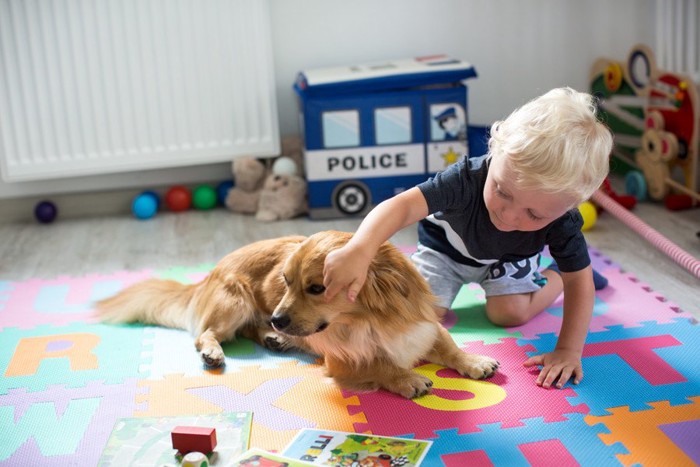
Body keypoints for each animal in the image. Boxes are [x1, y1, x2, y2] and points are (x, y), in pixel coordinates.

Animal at [94, 230, 498, 398]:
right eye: (286, 282)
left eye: (316, 288)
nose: (278, 319)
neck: (371, 319)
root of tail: (212, 270)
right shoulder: (342, 361)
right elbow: (381, 364)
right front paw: (407, 378)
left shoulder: (422, 328)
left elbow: (450, 347)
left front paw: (475, 360)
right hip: (235, 301)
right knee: (206, 334)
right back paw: (217, 350)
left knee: (248, 330)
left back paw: (273, 337)